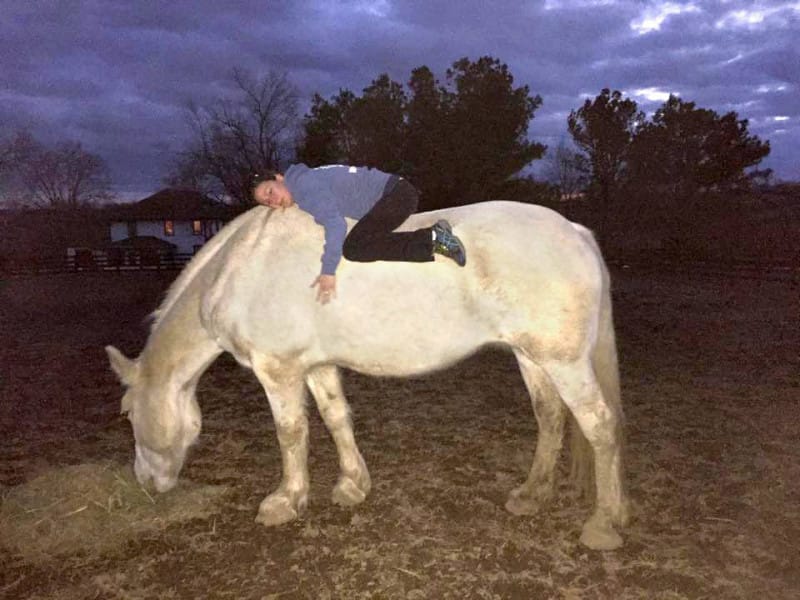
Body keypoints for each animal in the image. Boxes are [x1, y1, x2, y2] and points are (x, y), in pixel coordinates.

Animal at [106, 200, 630, 550]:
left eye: (127, 413)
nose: (145, 482)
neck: (244, 265)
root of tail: (576, 231)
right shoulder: (317, 366)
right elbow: (337, 418)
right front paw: (352, 486)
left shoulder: (278, 370)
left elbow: (290, 433)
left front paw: (286, 501)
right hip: (532, 356)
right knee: (550, 418)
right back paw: (532, 495)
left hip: (563, 362)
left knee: (600, 425)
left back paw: (604, 523)